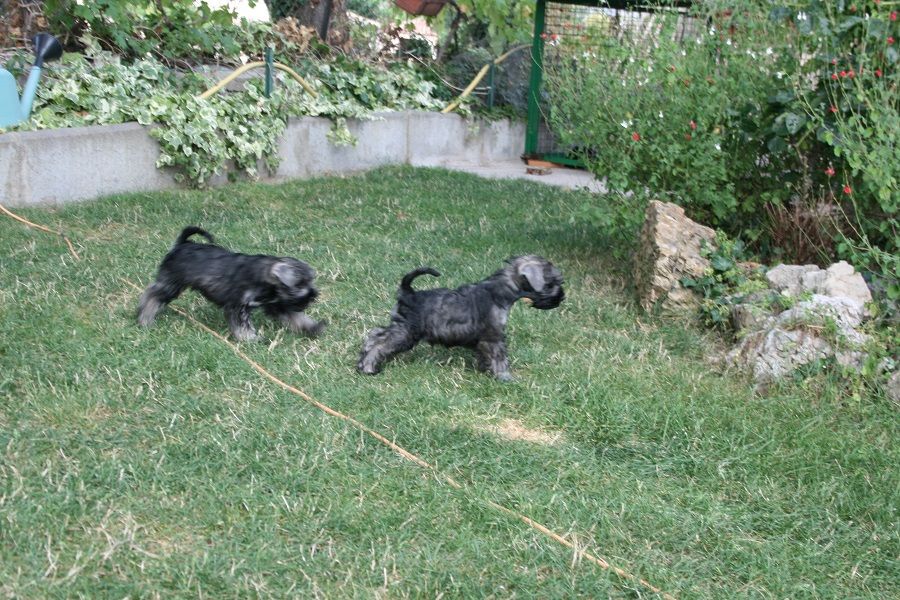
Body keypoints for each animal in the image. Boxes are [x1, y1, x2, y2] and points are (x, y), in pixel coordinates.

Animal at [135, 226, 326, 340]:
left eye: (310, 280)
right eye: (299, 285)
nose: (314, 295)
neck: (266, 277)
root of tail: (181, 244)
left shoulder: (277, 306)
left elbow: (296, 318)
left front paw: (313, 327)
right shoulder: (237, 306)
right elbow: (242, 325)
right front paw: (250, 339)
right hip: (171, 284)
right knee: (152, 295)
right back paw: (145, 318)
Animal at [356, 256, 564, 380]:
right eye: (553, 283)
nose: (561, 298)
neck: (501, 291)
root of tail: (408, 293)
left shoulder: (485, 339)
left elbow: (484, 355)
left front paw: (485, 370)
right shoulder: (494, 337)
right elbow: (500, 357)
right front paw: (505, 377)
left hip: (400, 327)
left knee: (375, 334)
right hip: (406, 332)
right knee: (380, 344)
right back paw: (369, 367)